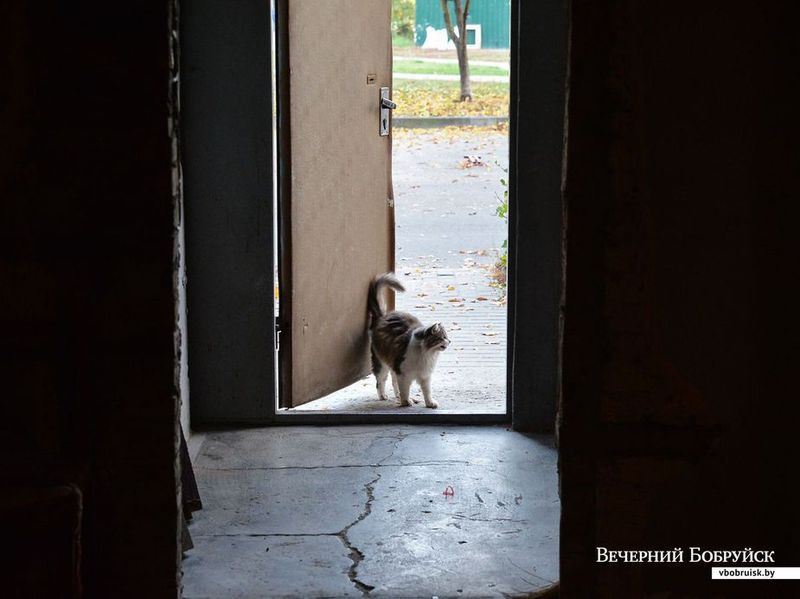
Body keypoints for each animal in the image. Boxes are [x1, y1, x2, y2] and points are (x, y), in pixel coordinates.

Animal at [368, 274, 450, 410]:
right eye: (442, 337)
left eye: (447, 336)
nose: (450, 341)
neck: (426, 354)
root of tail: (383, 317)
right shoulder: (403, 373)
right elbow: (405, 391)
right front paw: (406, 402)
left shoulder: (424, 375)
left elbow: (427, 392)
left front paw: (429, 403)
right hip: (382, 363)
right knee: (380, 381)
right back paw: (383, 396)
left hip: (393, 364)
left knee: (394, 383)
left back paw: (398, 396)